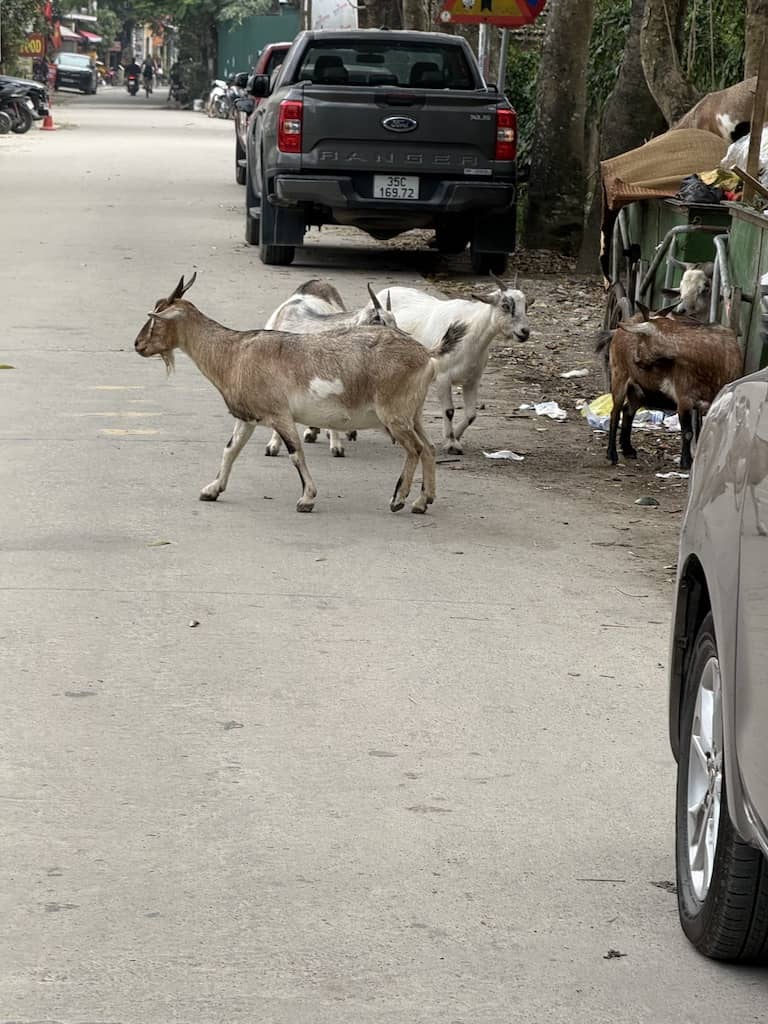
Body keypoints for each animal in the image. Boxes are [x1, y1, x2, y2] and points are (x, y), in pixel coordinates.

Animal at [375, 273, 532, 453]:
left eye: (526, 306)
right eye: (505, 305)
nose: (524, 332)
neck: (469, 333)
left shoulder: (472, 380)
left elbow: (471, 414)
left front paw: (454, 437)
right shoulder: (443, 378)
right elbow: (449, 411)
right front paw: (451, 443)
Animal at [595, 316, 742, 470]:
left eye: (641, 341)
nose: (636, 361)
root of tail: (616, 332)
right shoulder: (684, 399)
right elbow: (688, 433)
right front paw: (686, 462)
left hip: (638, 391)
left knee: (628, 411)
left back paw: (628, 450)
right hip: (619, 376)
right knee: (615, 413)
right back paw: (612, 454)